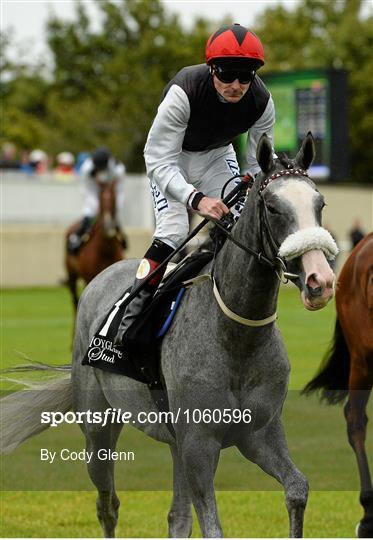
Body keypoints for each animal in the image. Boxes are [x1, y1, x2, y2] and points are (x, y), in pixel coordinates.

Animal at [64, 180, 124, 310]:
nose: (108, 227)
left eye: (114, 199)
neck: (105, 250)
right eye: (100, 199)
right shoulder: (90, 278)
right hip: (71, 275)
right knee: (75, 300)